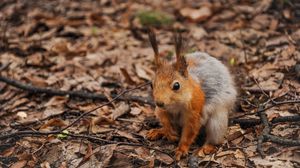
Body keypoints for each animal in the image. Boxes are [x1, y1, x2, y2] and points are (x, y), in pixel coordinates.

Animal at [146, 29, 238, 160]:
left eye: (176, 86)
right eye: (151, 84)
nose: (159, 102)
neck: (175, 105)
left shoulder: (194, 111)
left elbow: (189, 131)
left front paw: (181, 149)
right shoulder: (161, 110)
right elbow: (163, 118)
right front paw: (169, 132)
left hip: (217, 120)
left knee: (215, 137)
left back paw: (207, 147)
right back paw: (160, 131)